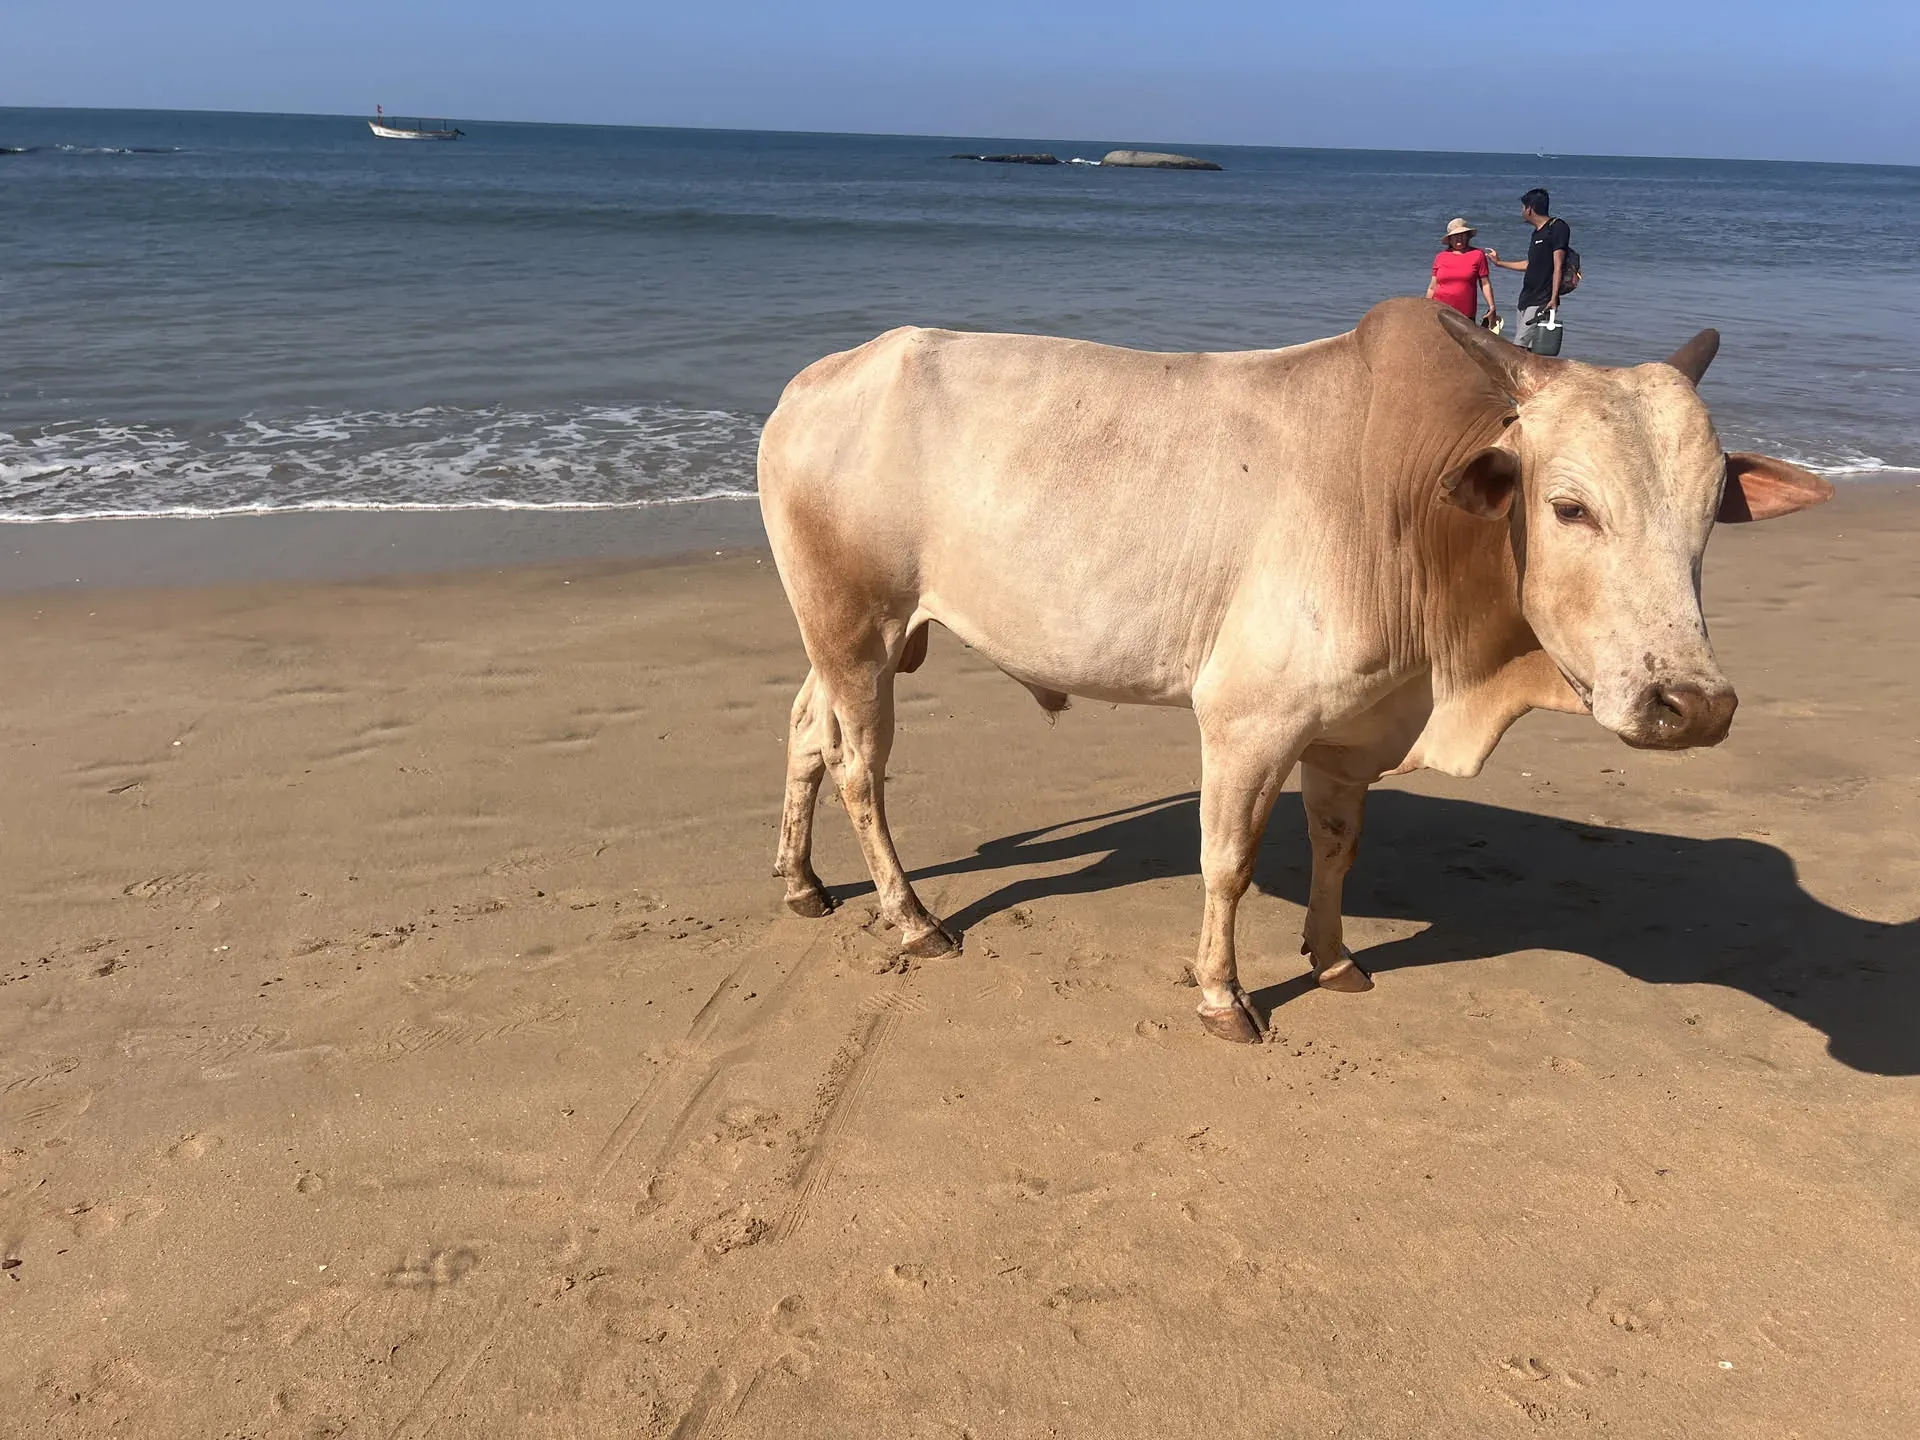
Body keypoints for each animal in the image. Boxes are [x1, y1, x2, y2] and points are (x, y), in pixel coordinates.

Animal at [756, 298, 1833, 1043]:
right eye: (1570, 508)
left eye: (1708, 514)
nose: (1691, 703)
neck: (1412, 510)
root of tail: (814, 382)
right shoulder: (1247, 721)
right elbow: (1227, 863)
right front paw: (1224, 997)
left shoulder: (1348, 731)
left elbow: (1336, 849)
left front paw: (1335, 958)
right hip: (856, 629)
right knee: (859, 767)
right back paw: (910, 919)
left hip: (858, 636)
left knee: (807, 730)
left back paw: (802, 882)